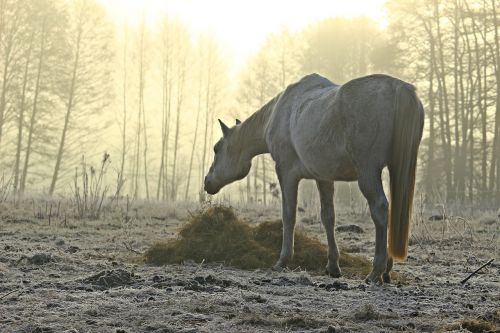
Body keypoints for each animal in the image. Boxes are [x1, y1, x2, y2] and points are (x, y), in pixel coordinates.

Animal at [205, 73, 424, 282]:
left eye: (216, 149)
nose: (207, 182)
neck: (278, 114)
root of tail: (399, 87)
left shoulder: (286, 173)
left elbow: (289, 215)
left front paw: (283, 260)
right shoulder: (324, 177)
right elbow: (328, 217)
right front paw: (333, 266)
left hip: (367, 172)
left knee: (380, 208)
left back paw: (376, 271)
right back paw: (386, 270)